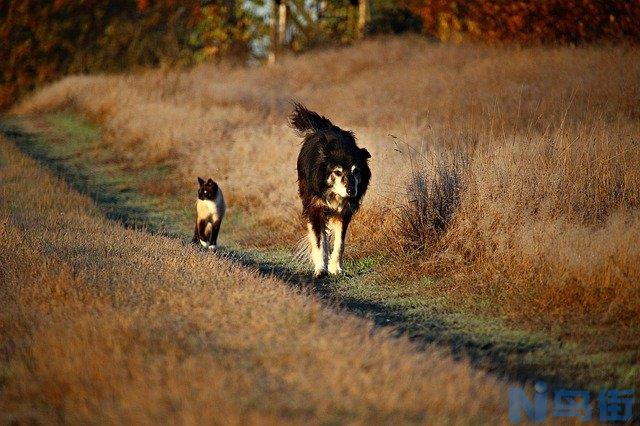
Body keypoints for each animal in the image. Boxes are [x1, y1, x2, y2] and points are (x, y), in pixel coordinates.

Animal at [288, 102, 372, 278]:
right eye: (337, 172)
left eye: (356, 171)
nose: (351, 191)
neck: (333, 193)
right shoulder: (316, 207)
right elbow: (319, 241)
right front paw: (321, 270)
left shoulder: (344, 212)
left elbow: (340, 242)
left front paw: (336, 269)